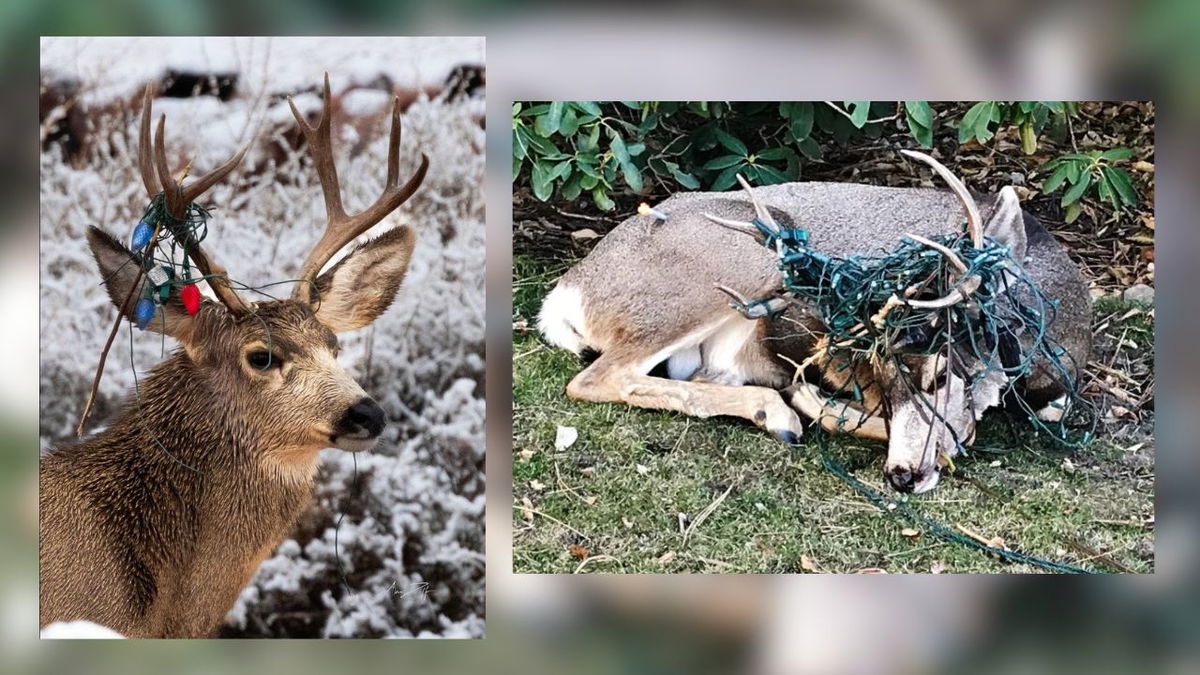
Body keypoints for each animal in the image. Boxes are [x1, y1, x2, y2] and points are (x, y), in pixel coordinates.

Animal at [540, 149, 1094, 492]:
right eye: (884, 371)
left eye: (941, 375)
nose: (902, 475)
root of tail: (568, 292)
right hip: (749, 256)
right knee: (597, 377)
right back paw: (782, 413)